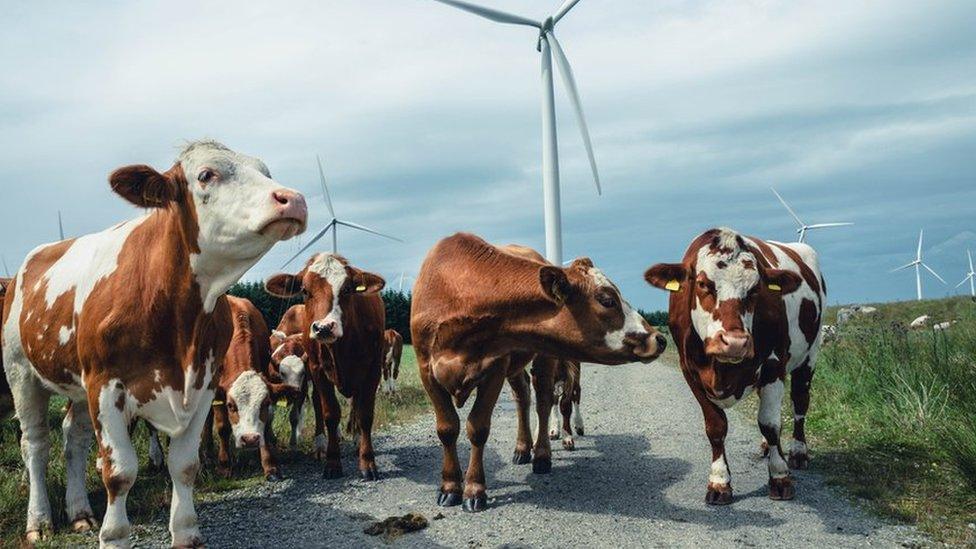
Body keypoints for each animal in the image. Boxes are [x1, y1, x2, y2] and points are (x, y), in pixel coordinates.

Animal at [0, 140, 304, 544]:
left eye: (266, 172)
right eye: (206, 174)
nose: (293, 199)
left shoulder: (204, 385)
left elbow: (186, 465)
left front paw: (187, 534)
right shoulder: (105, 386)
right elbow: (119, 473)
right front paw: (114, 538)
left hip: (77, 383)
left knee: (73, 439)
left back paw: (80, 513)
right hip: (22, 373)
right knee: (35, 444)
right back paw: (39, 522)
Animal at [268, 253, 390, 480]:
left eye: (347, 289)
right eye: (305, 290)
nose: (324, 327)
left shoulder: (372, 370)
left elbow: (365, 414)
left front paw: (367, 461)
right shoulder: (318, 371)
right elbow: (330, 414)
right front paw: (332, 462)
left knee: (356, 407)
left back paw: (356, 440)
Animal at [408, 231, 668, 510]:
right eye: (607, 300)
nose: (659, 338)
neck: (458, 292)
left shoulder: (495, 367)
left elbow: (478, 427)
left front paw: (474, 489)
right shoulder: (426, 370)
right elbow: (447, 428)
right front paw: (449, 486)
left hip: (545, 357)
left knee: (543, 402)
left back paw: (541, 454)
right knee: (523, 397)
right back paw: (523, 448)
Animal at [648, 227, 824, 506]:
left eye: (755, 289)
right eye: (703, 284)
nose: (735, 342)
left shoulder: (774, 364)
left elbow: (770, 424)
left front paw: (780, 477)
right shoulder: (690, 371)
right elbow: (716, 427)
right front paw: (720, 482)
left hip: (810, 354)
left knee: (799, 402)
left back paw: (797, 452)